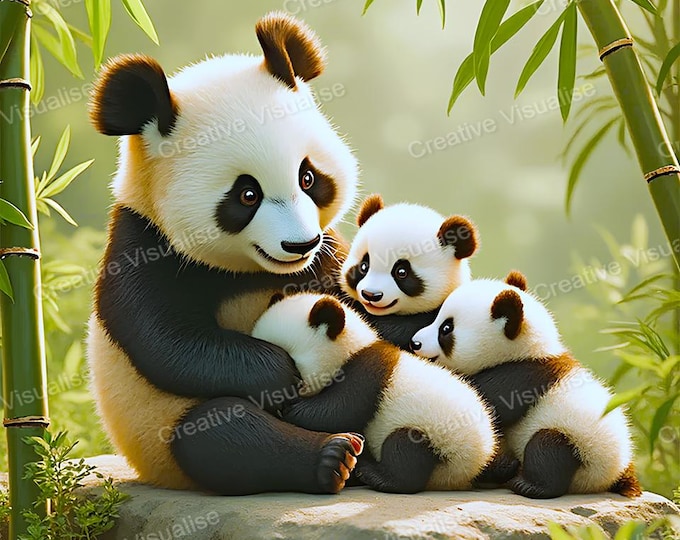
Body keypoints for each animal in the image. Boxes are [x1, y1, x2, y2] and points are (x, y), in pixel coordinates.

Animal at [87, 12, 367, 496]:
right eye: (246, 194)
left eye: (308, 177)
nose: (299, 245)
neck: (248, 269)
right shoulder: (144, 243)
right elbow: (167, 340)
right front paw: (281, 374)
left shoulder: (327, 253)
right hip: (159, 432)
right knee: (222, 435)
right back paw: (333, 457)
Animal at [251, 292, 502, 493]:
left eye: (289, 363)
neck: (353, 346)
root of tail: (473, 464)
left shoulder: (368, 370)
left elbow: (339, 409)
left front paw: (290, 408)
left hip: (439, 437)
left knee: (405, 448)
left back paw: (375, 475)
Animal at [410, 272, 642, 499]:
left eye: (446, 329)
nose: (415, 343)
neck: (531, 348)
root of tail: (610, 476)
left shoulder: (523, 376)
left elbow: (487, 402)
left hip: (583, 444)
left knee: (548, 448)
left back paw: (527, 485)